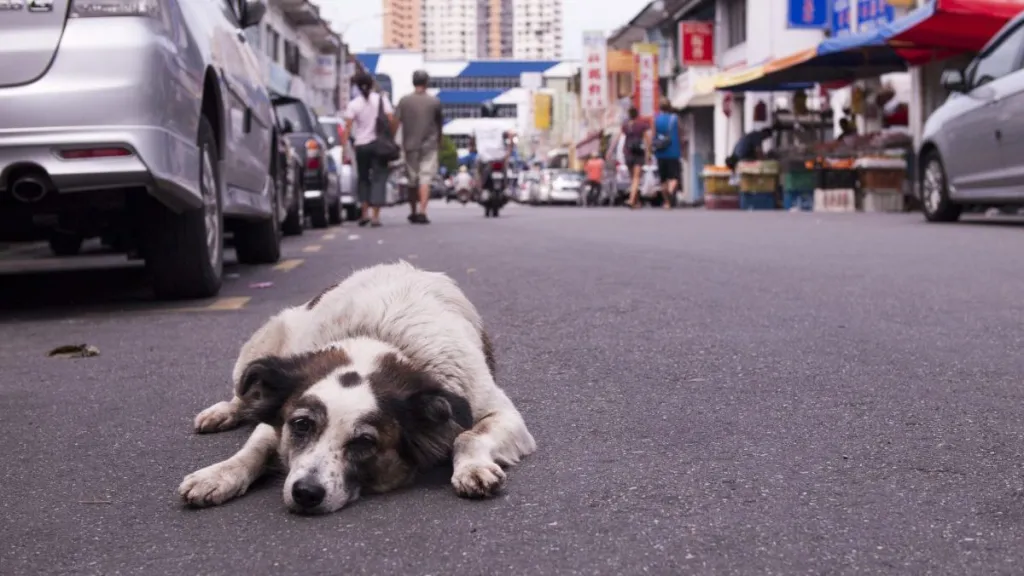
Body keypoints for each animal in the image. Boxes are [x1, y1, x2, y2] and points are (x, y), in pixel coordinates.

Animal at [181, 260, 540, 510]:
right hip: (260, 348)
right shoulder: (278, 415)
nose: (305, 493)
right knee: (244, 394)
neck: (379, 340)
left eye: (365, 442)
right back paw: (223, 411)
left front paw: (472, 466)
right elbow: (254, 447)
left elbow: (468, 436)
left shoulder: (497, 412)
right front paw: (219, 474)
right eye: (301, 425)